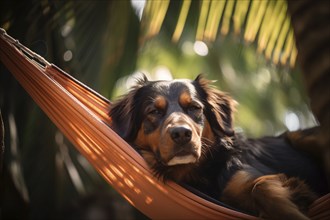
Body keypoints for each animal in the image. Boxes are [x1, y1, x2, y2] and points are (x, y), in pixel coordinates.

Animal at [109, 75, 328, 219]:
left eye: (194, 108)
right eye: (154, 111)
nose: (181, 134)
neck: (202, 173)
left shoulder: (254, 177)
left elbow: (260, 187)